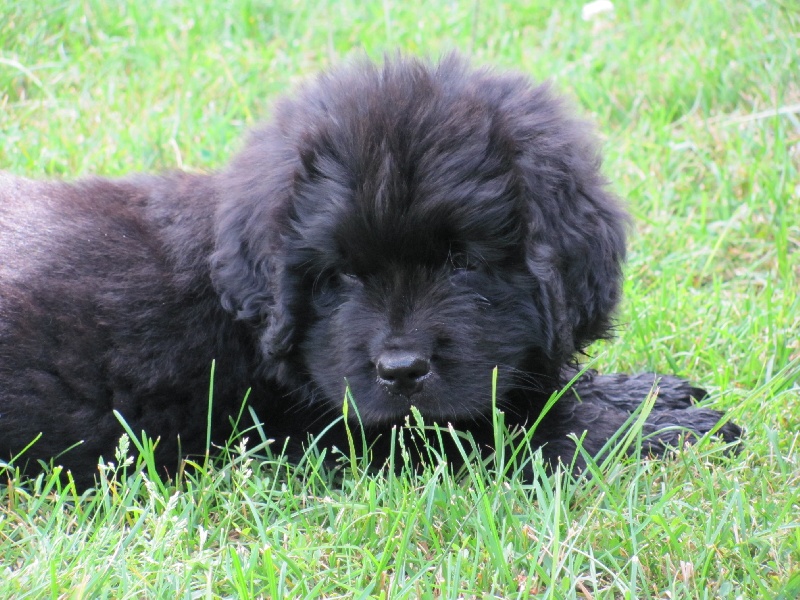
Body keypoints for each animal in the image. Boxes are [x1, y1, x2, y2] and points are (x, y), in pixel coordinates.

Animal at [0, 55, 736, 488]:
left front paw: (642, 392)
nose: (401, 370)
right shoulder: (326, 437)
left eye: (465, 263)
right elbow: (500, 432)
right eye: (341, 276)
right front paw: (645, 426)